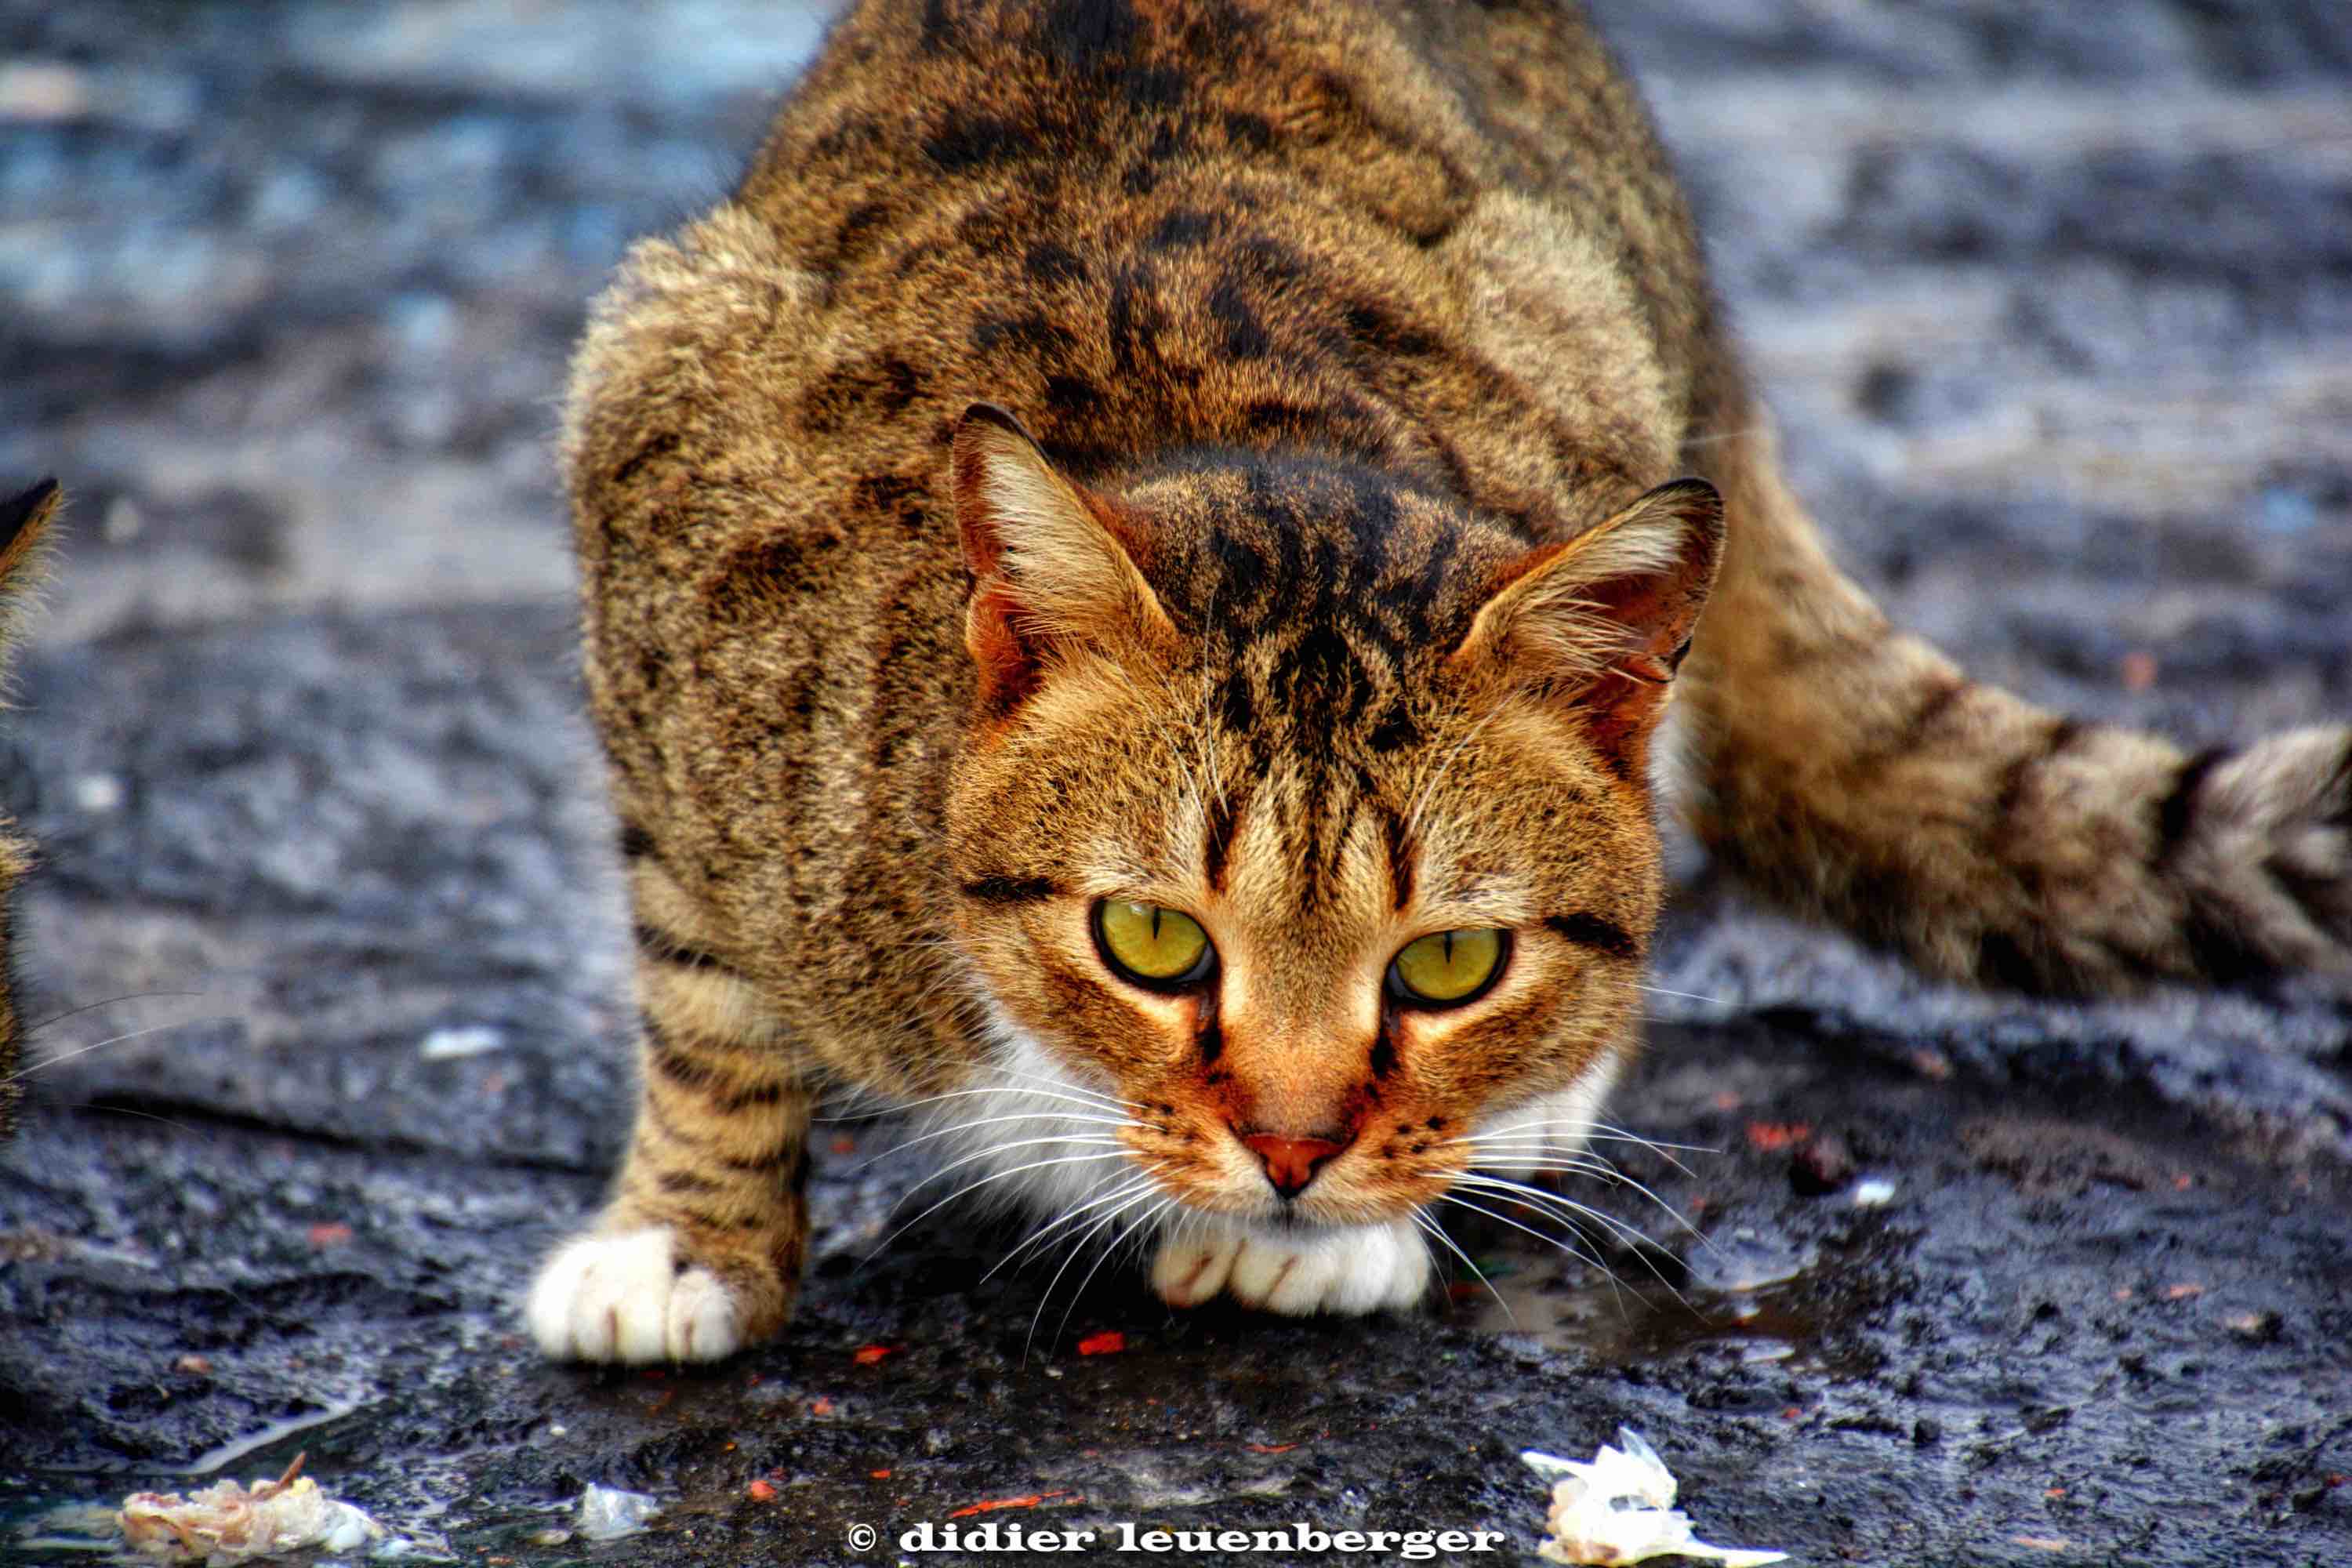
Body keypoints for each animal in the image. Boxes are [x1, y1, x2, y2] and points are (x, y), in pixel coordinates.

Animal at [524, 0, 2343, 1363]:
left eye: (1452, 963)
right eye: (1152, 939)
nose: (1292, 1153)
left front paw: (1357, 1222)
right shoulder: (662, 482)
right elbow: (698, 989)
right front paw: (687, 1235)